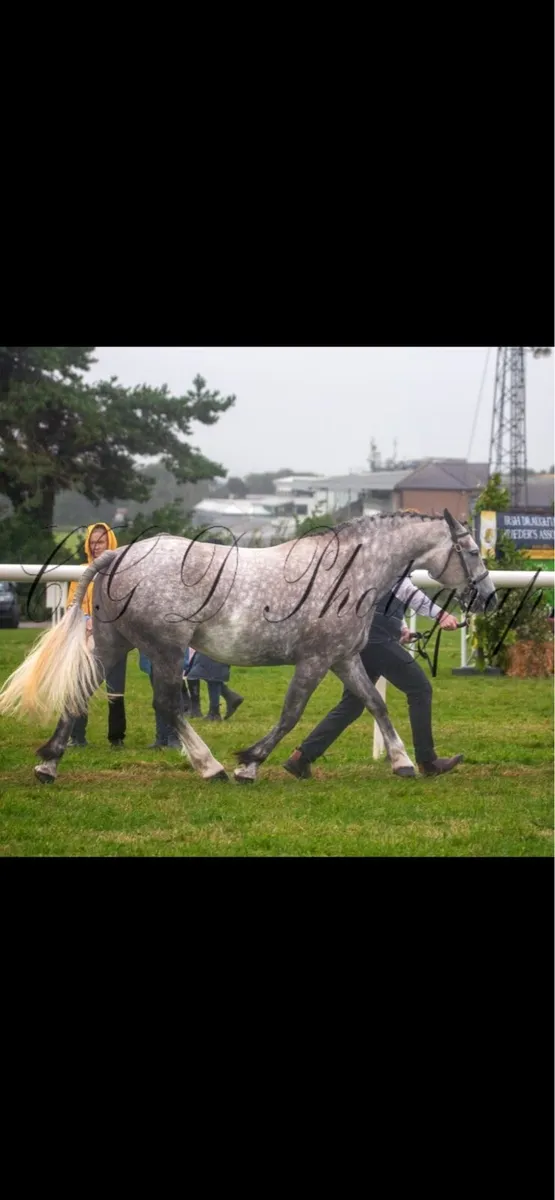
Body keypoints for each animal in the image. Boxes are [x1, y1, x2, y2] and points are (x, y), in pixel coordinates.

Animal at [0, 509, 497, 785]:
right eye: (472, 551)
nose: (489, 598)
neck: (350, 573)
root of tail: (116, 555)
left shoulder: (343, 658)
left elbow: (375, 704)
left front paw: (403, 762)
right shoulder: (315, 660)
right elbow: (291, 714)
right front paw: (249, 765)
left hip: (112, 644)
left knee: (83, 694)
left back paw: (49, 764)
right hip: (164, 649)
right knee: (168, 706)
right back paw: (211, 768)